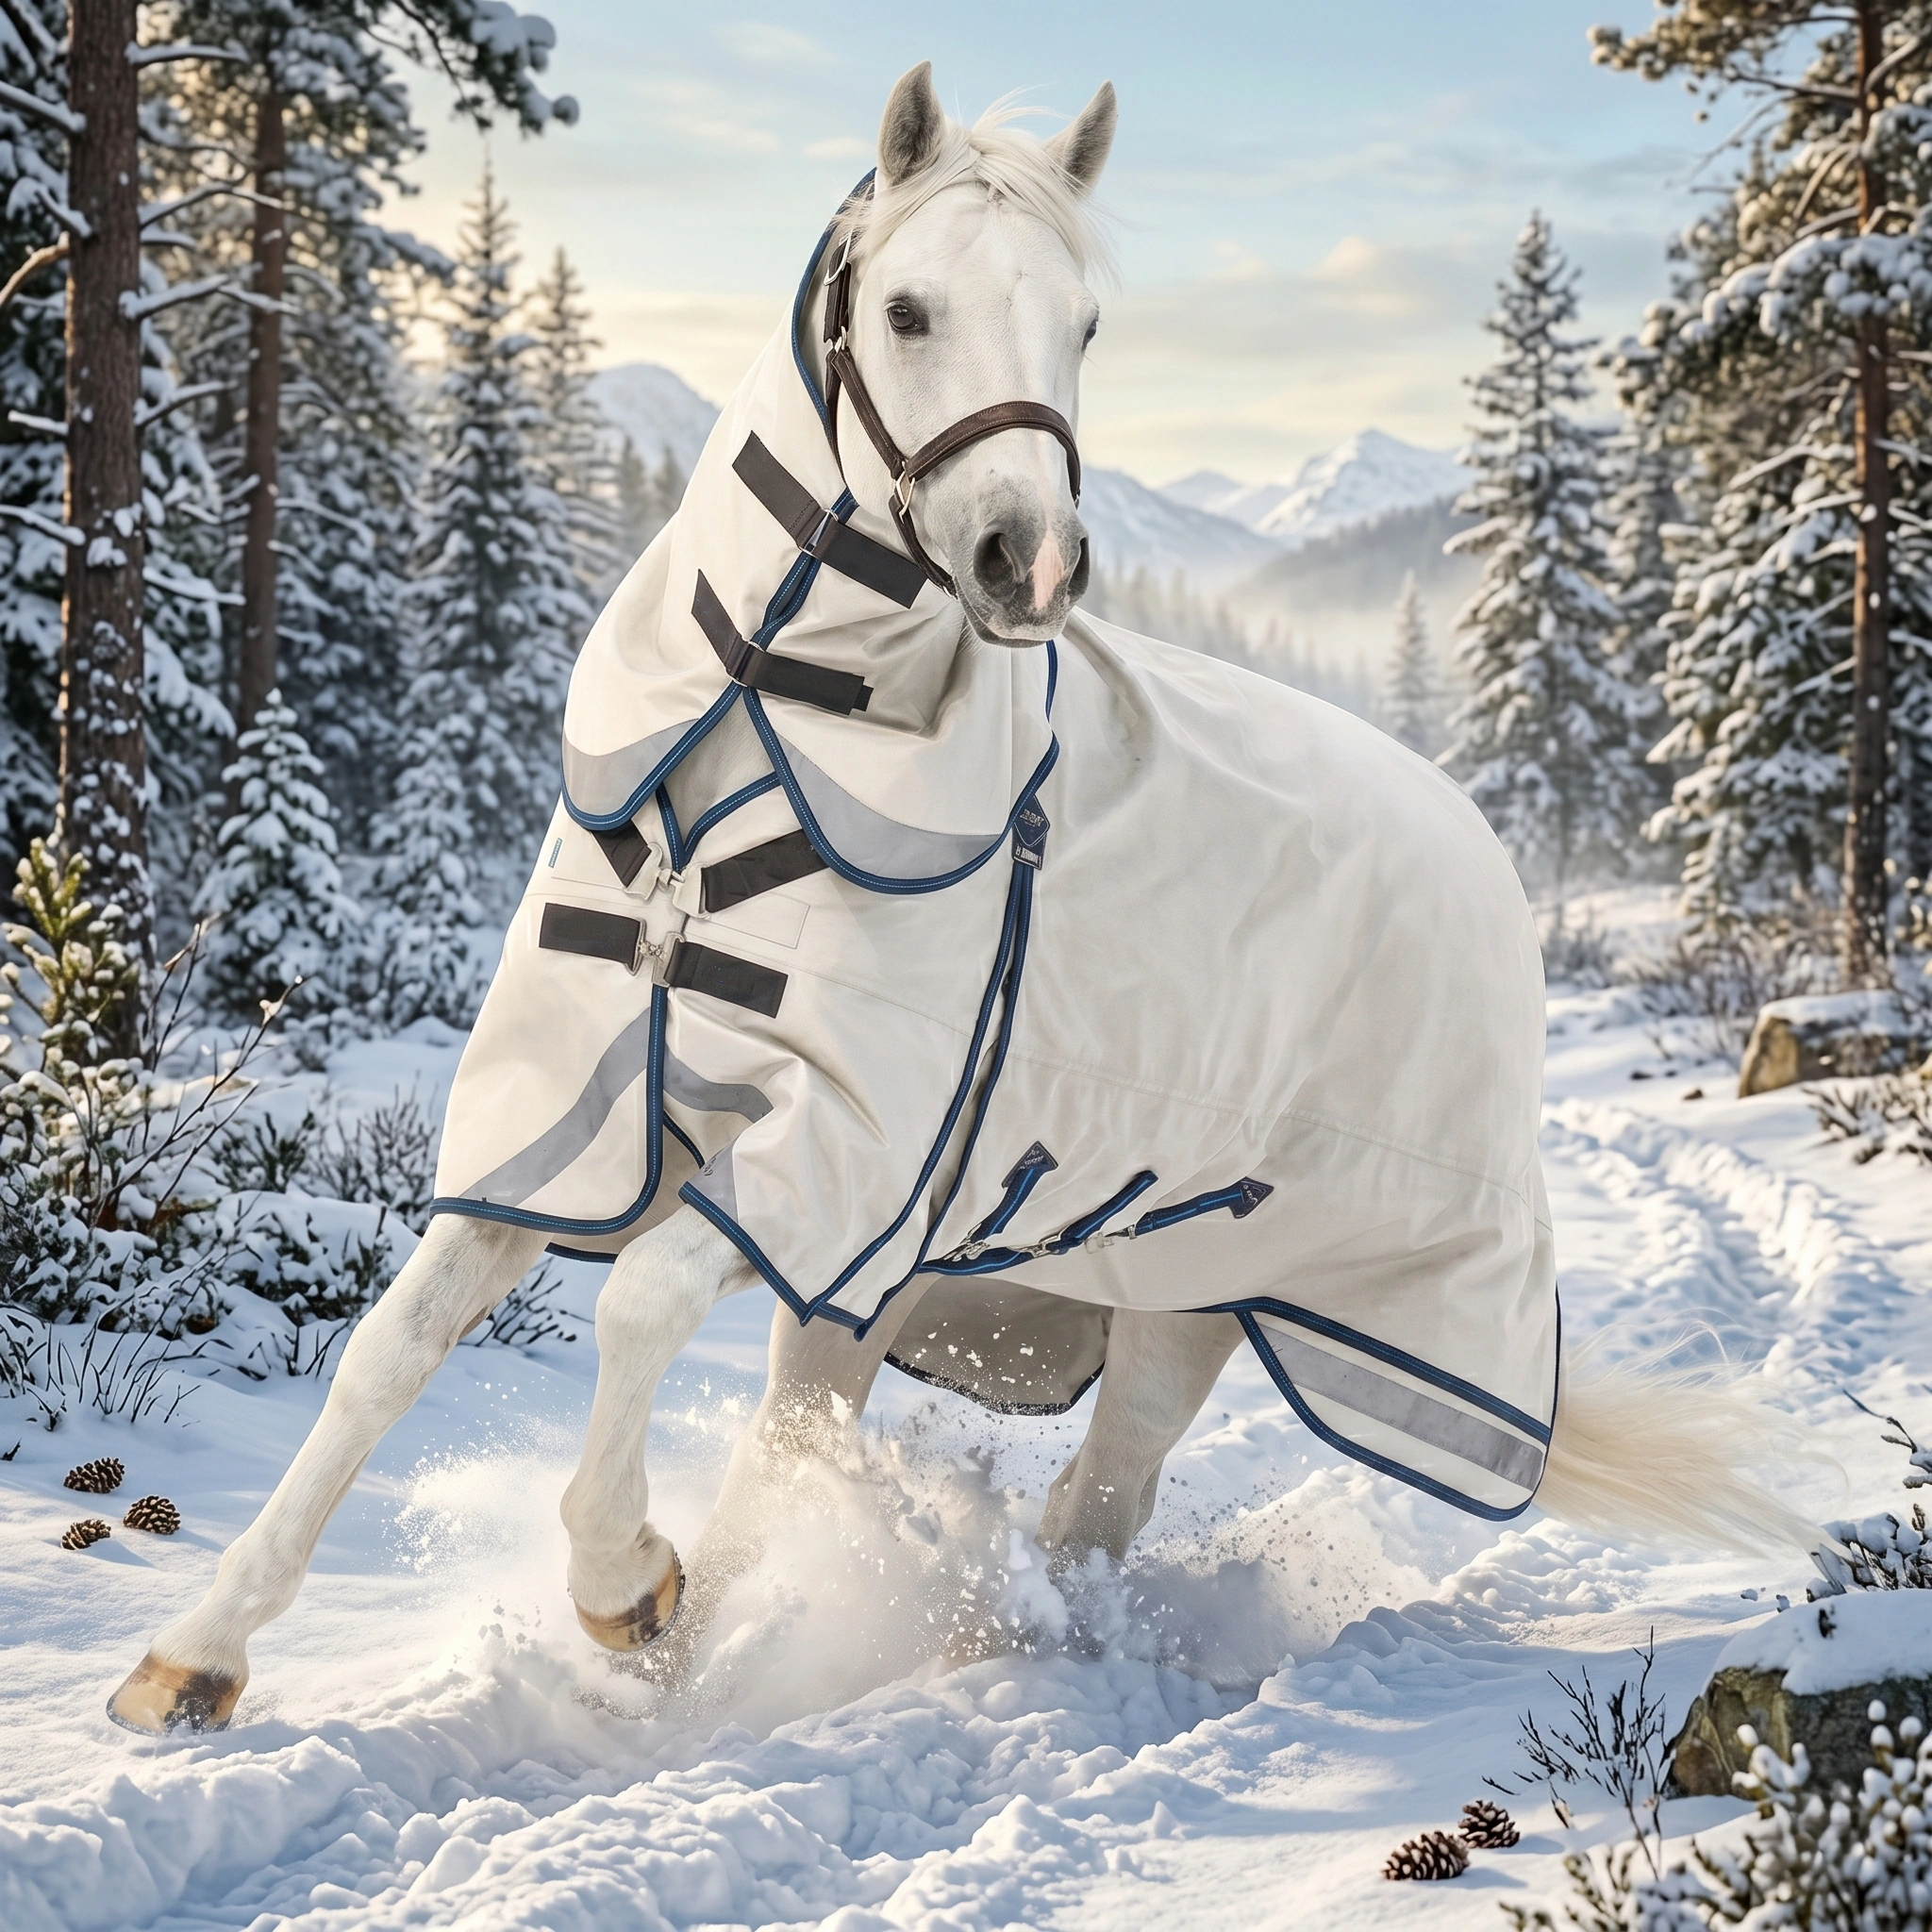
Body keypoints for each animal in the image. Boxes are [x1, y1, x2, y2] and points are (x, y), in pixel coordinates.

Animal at [109, 64, 1811, 1735]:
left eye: (1085, 325)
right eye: (908, 308)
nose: (1027, 561)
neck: (760, 709)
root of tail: (1479, 844)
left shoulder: (840, 1152)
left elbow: (639, 1301)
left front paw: (620, 1580)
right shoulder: (585, 1109)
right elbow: (392, 1346)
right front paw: (199, 1650)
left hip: (1188, 1295)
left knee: (1091, 1504)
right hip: (914, 1283)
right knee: (818, 1439)